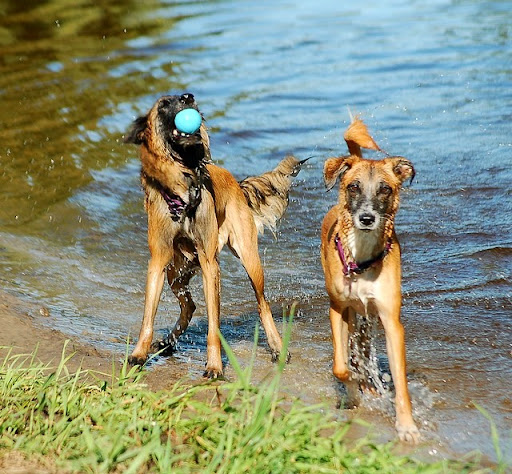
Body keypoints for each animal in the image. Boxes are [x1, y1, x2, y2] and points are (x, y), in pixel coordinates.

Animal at [124, 93, 305, 378]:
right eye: (164, 104)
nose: (188, 97)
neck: (183, 190)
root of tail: (237, 183)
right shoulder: (158, 261)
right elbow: (148, 316)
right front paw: (139, 354)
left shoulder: (210, 264)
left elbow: (213, 326)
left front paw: (214, 365)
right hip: (176, 271)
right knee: (189, 305)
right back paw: (168, 342)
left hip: (249, 259)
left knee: (262, 304)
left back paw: (277, 347)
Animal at [320, 117, 420, 443]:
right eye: (354, 186)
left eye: (384, 189)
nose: (366, 218)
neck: (361, 261)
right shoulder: (337, 309)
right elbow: (340, 367)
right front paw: (352, 390)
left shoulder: (390, 320)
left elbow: (400, 381)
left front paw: (407, 426)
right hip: (353, 315)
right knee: (352, 353)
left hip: (367, 317)